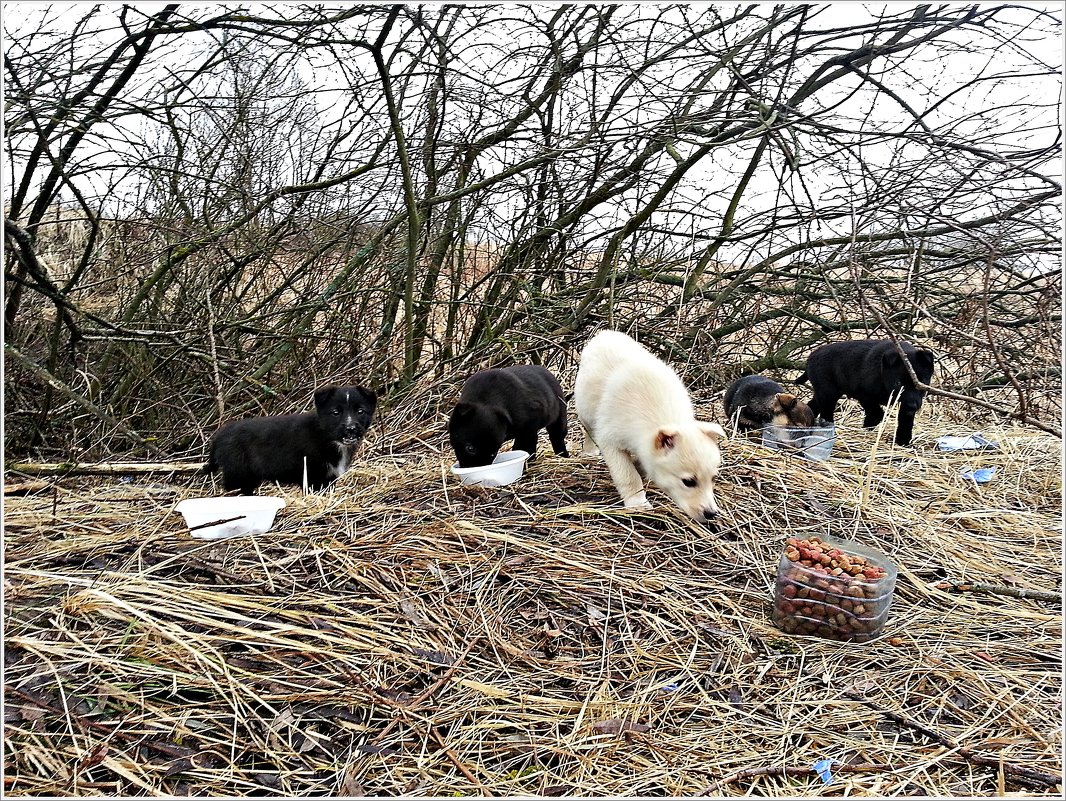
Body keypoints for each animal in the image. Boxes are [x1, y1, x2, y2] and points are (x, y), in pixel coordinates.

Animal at [205, 383, 377, 494]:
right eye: (336, 412)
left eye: (360, 411)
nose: (351, 429)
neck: (326, 436)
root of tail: (220, 435)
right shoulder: (311, 476)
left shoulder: (329, 477)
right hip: (237, 472)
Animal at [575, 330, 724, 522]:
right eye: (689, 482)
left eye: (713, 478)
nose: (711, 514)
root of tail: (605, 333)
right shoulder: (611, 440)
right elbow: (628, 475)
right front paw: (638, 502)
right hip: (585, 406)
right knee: (588, 429)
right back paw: (589, 451)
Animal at [797, 339, 938, 447]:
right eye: (898, 383)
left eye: (921, 381)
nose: (912, 405)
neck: (882, 375)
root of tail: (811, 357)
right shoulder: (864, 394)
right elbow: (876, 413)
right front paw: (868, 427)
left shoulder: (904, 406)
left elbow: (905, 422)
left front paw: (903, 441)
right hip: (827, 394)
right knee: (826, 412)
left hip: (823, 393)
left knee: (811, 406)